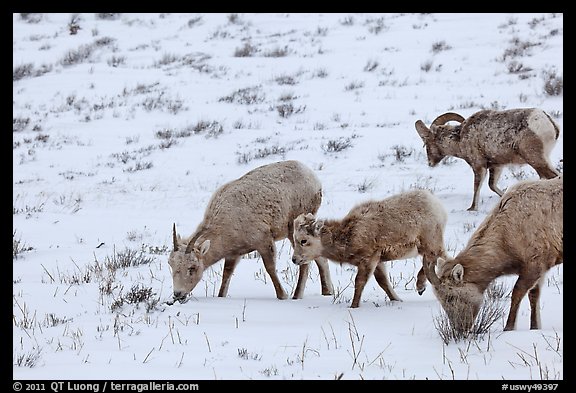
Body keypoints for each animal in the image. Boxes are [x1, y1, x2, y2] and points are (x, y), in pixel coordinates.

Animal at [168, 159, 332, 304]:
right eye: (171, 264)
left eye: (192, 267)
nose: (178, 294)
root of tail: (314, 178)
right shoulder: (233, 254)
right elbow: (226, 276)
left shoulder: (264, 241)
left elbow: (270, 268)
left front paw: (283, 296)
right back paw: (327, 292)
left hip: (293, 230)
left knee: (305, 263)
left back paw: (297, 296)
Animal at [290, 188, 448, 308]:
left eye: (303, 240)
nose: (294, 259)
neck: (348, 238)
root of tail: (437, 205)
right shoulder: (378, 261)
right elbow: (383, 282)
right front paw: (397, 299)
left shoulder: (369, 259)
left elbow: (359, 282)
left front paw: (354, 306)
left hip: (430, 242)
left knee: (439, 258)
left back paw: (421, 285)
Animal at [416, 107, 560, 211]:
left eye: (427, 143)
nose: (430, 163)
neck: (460, 138)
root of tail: (547, 121)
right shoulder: (496, 166)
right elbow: (492, 185)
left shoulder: (479, 166)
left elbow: (476, 187)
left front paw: (472, 208)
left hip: (537, 161)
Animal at [428, 175, 564, 330]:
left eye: (451, 297)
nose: (460, 328)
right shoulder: (540, 266)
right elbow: (534, 295)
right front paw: (535, 327)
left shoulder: (536, 263)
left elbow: (517, 293)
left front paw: (509, 327)